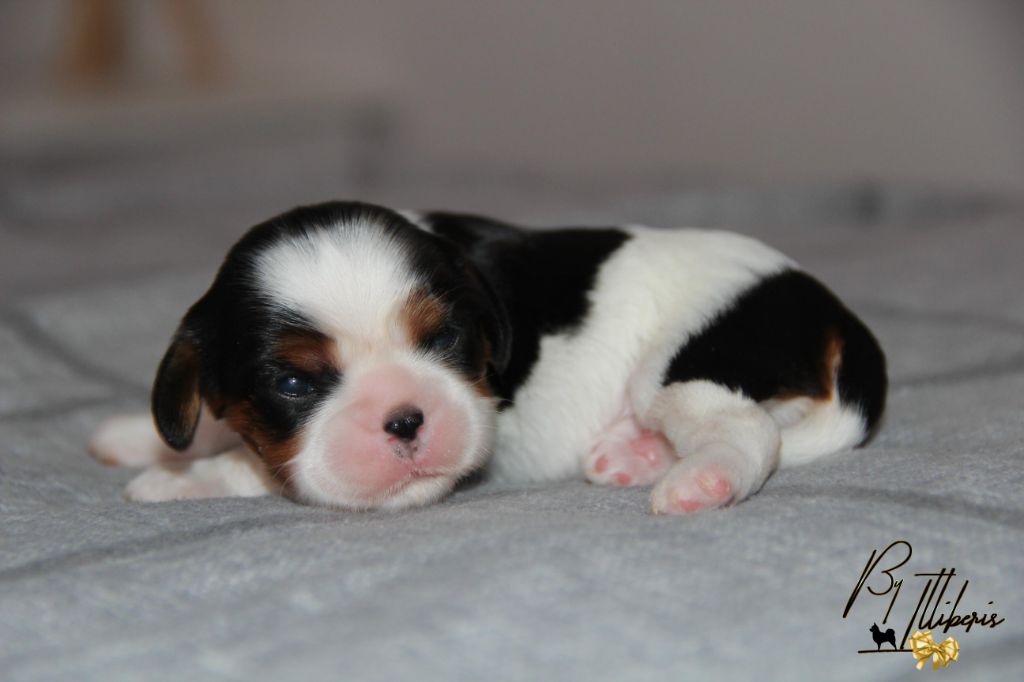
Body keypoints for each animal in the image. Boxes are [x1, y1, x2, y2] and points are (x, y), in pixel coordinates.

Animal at [92, 199, 884, 512]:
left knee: (751, 429)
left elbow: (258, 466)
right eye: (291, 381)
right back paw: (635, 454)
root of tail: (823, 301)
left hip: (688, 363)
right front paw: (139, 437)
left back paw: (700, 480)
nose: (405, 420)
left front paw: (177, 479)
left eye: (442, 339)